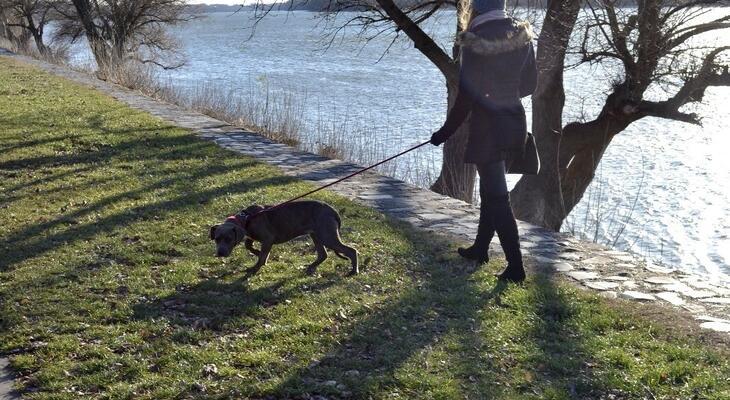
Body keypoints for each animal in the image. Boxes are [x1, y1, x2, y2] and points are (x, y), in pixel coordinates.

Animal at [208, 202, 358, 276]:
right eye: (217, 239)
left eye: (228, 239)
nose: (220, 253)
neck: (246, 218)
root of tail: (333, 210)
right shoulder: (252, 236)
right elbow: (248, 245)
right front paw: (258, 253)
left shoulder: (268, 239)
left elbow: (261, 256)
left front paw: (256, 266)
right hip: (316, 235)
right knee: (323, 254)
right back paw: (311, 267)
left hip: (327, 236)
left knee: (352, 251)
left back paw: (353, 271)